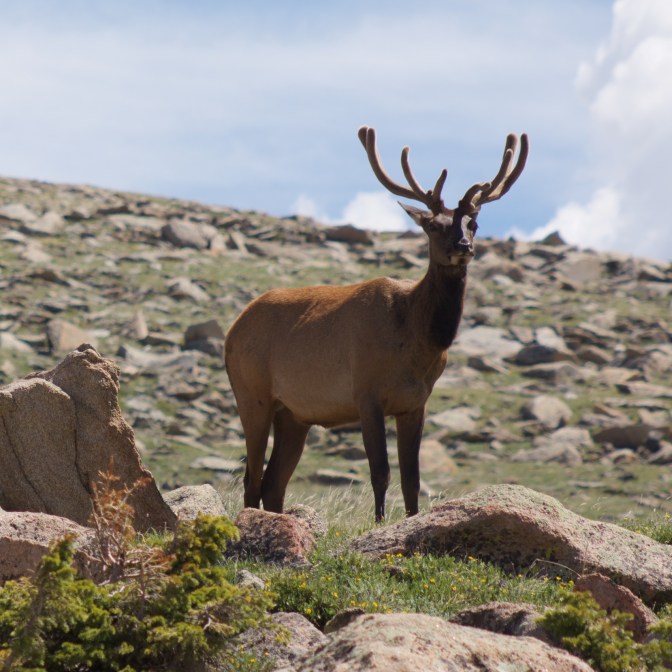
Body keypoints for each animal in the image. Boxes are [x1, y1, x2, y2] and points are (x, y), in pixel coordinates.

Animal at [225, 126, 528, 521]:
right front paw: (380, 522)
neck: (417, 342)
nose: (463, 246)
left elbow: (412, 478)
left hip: (294, 414)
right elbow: (380, 472)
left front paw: (411, 520)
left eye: (473, 223)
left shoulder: (416, 402)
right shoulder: (366, 393)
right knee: (252, 477)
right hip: (252, 393)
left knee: (274, 482)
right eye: (433, 226)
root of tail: (232, 330)